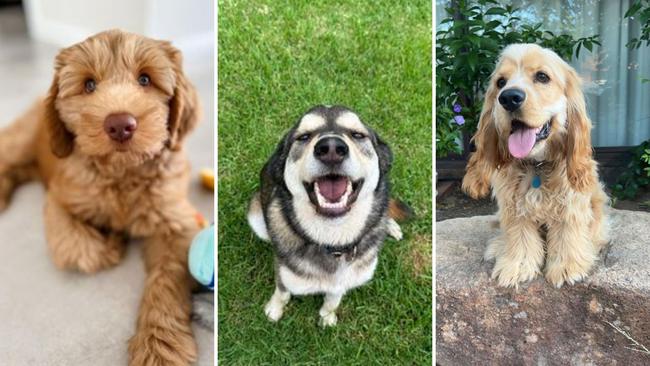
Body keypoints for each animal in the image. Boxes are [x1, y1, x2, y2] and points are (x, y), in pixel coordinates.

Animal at [0, 30, 201, 364]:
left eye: (145, 79)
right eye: (89, 85)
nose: (120, 124)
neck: (121, 174)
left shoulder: (175, 221)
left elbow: (168, 279)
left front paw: (158, 347)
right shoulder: (60, 199)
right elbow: (77, 247)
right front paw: (112, 242)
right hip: (20, 139)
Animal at [246, 105, 408, 326]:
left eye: (357, 135)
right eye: (304, 136)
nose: (331, 148)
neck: (334, 240)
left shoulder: (344, 281)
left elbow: (333, 300)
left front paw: (326, 317)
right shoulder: (284, 274)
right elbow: (282, 293)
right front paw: (274, 309)